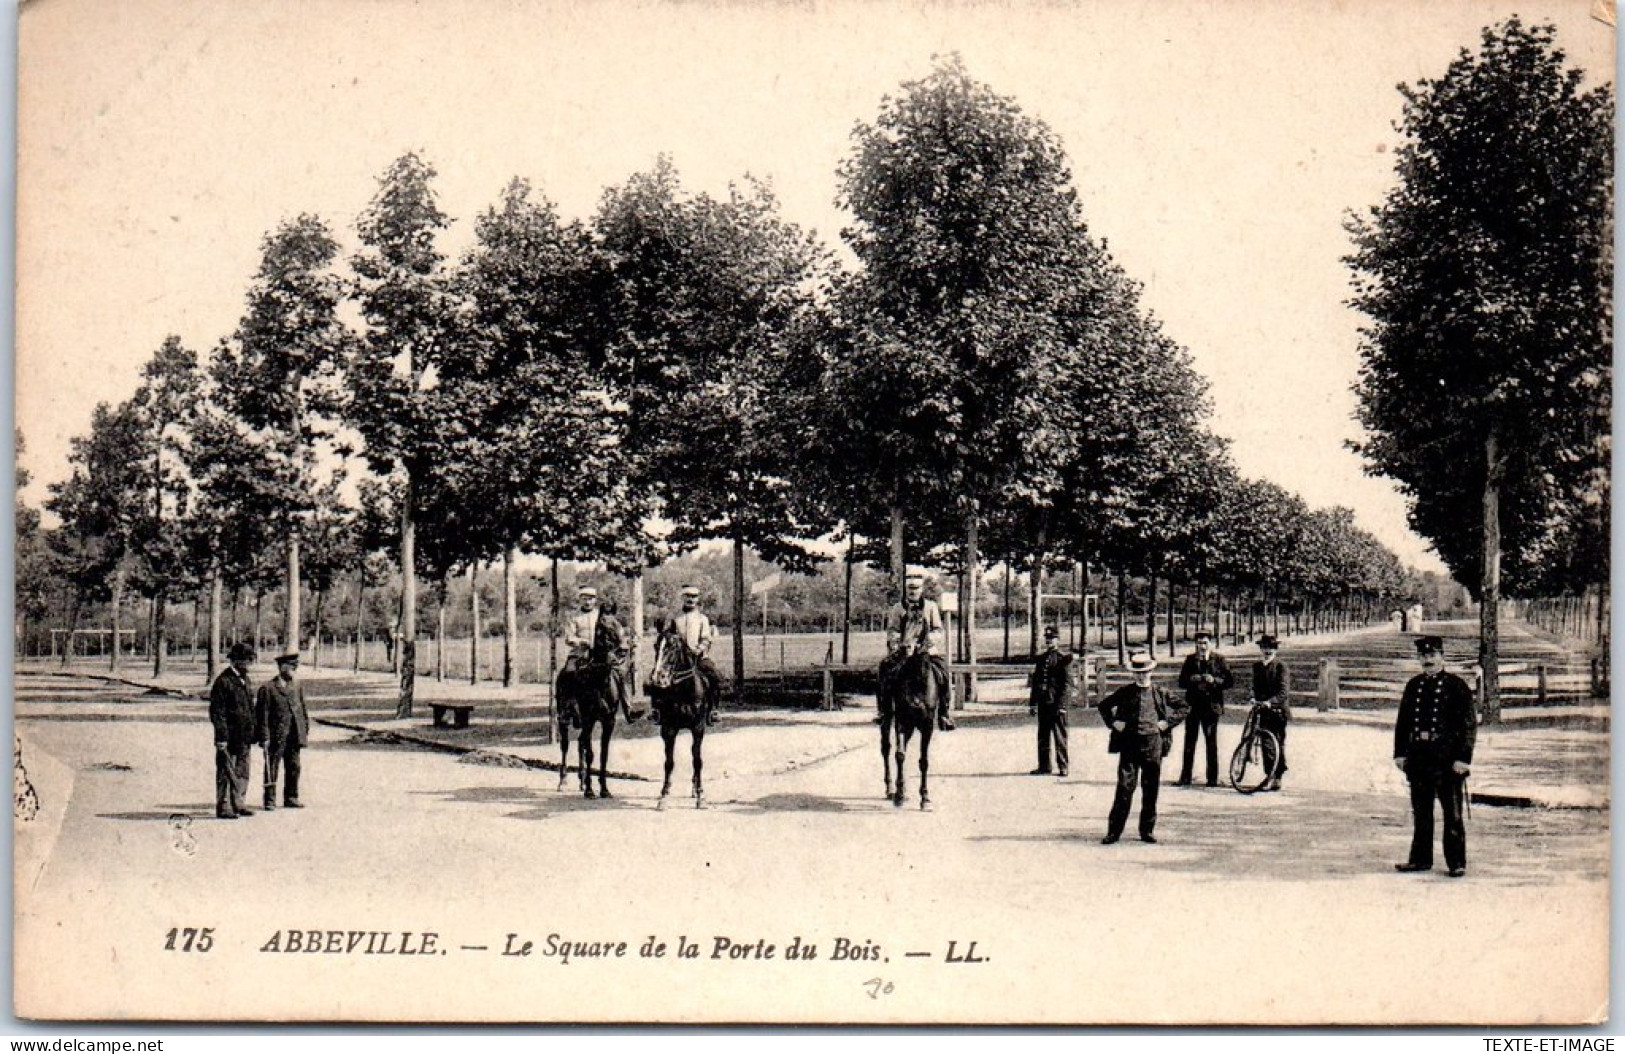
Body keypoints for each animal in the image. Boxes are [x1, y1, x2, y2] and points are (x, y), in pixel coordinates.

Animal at [549, 656, 617, 799]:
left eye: (607, 682)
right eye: (591, 684)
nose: (603, 708)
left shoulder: (609, 722)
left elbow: (604, 754)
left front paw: (604, 789)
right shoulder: (588, 720)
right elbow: (590, 754)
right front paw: (590, 790)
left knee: (580, 743)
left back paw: (582, 779)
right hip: (564, 719)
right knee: (565, 745)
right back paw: (563, 781)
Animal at [646, 620, 711, 808]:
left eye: (672, 646)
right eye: (655, 645)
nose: (658, 677)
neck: (684, 690)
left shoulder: (698, 728)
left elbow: (697, 761)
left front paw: (701, 796)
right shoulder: (669, 729)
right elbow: (669, 762)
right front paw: (664, 796)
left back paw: (695, 788)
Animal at [877, 646, 942, 808]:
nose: (916, 704)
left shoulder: (927, 726)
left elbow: (923, 761)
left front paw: (924, 798)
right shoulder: (901, 721)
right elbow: (900, 754)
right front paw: (899, 795)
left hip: (911, 727)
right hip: (889, 716)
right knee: (886, 748)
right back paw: (890, 789)